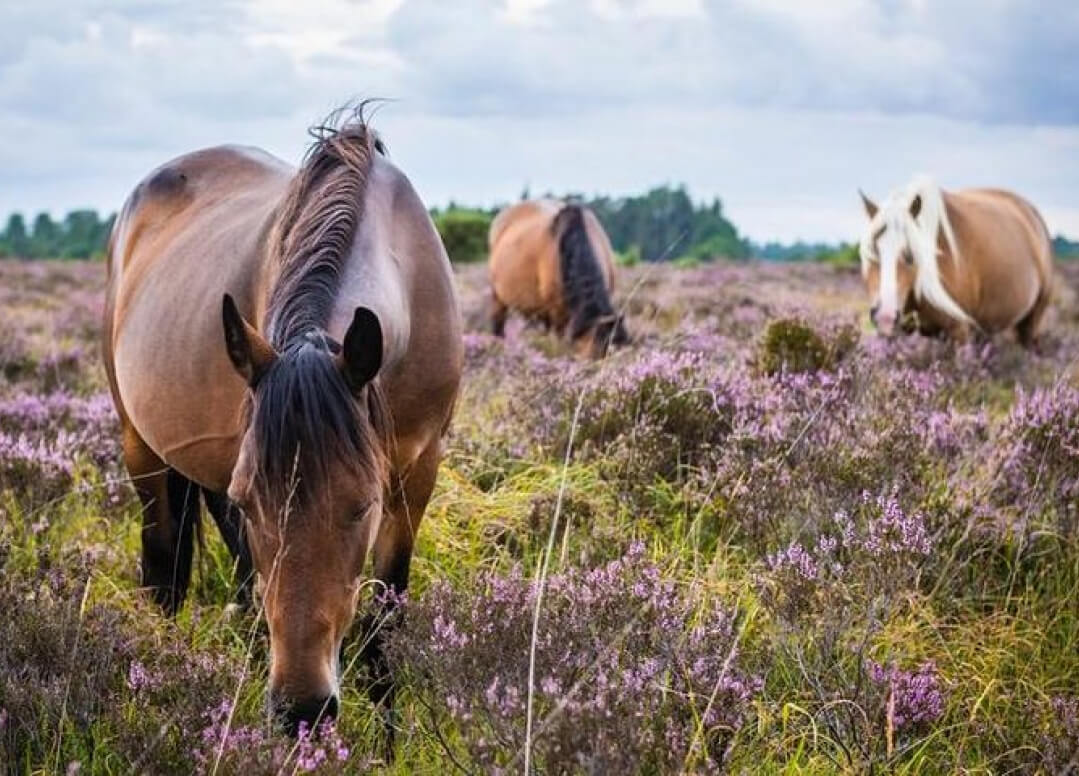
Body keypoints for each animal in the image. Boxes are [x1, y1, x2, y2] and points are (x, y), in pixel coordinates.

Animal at [103, 108, 463, 742]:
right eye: (252, 504)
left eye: (362, 507)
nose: (301, 711)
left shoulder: (418, 472)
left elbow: (382, 631)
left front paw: (389, 744)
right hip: (141, 447)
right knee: (164, 572)